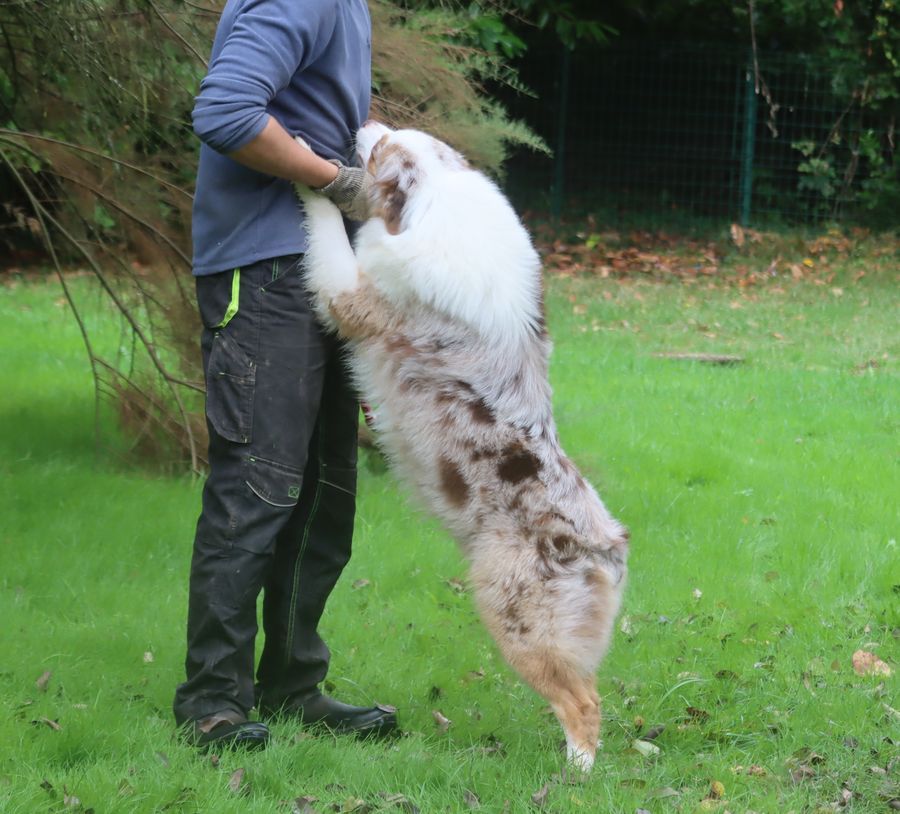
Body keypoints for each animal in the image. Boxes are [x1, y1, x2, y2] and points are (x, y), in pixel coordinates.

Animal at [294, 121, 624, 772]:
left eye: (381, 149)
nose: (363, 123)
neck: (436, 202)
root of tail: (603, 544)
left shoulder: (355, 298)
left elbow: (330, 241)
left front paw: (308, 179)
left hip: (517, 619)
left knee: (583, 703)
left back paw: (574, 772)